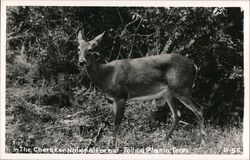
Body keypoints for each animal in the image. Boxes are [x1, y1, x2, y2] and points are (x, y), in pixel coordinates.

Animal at [77, 30, 205, 147]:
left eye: (90, 50)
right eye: (78, 48)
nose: (81, 62)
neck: (106, 75)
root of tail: (194, 66)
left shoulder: (121, 95)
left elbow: (117, 122)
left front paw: (113, 146)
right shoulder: (114, 99)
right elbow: (114, 121)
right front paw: (111, 144)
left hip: (182, 88)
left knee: (199, 109)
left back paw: (202, 142)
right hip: (170, 93)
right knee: (177, 114)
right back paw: (163, 141)